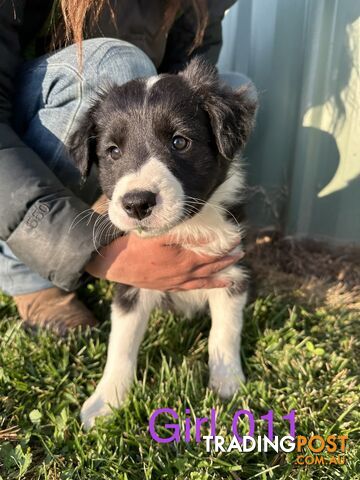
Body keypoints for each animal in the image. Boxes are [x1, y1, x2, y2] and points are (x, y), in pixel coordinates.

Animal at [69, 58, 258, 430]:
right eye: (113, 152)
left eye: (179, 142)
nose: (137, 203)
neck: (186, 228)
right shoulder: (132, 279)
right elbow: (121, 343)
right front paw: (105, 402)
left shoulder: (232, 270)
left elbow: (225, 332)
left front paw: (228, 384)